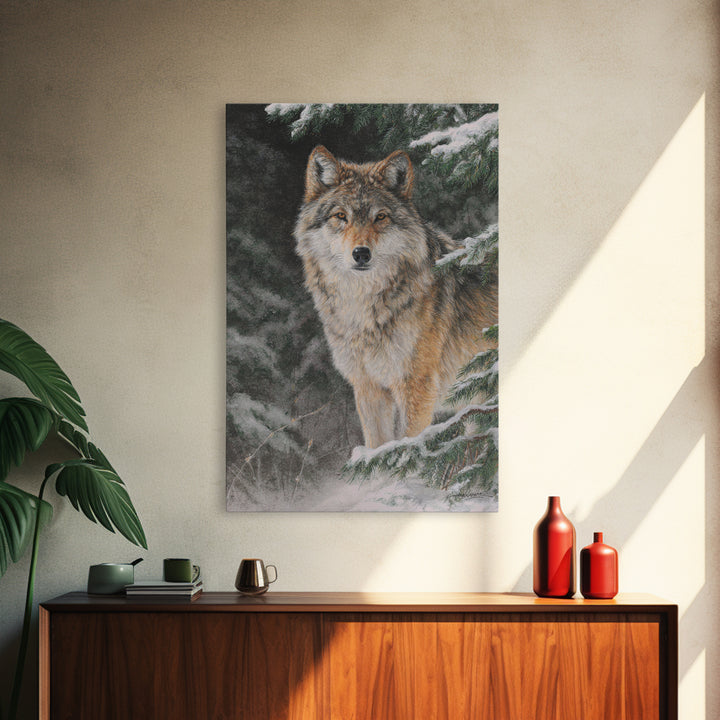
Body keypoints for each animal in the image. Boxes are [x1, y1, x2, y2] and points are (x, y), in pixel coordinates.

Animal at [294, 145, 497, 449]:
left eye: (380, 217)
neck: (364, 309)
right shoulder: (368, 387)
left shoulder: (416, 386)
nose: (361, 253)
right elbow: (378, 449)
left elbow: (407, 448)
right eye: (341, 216)